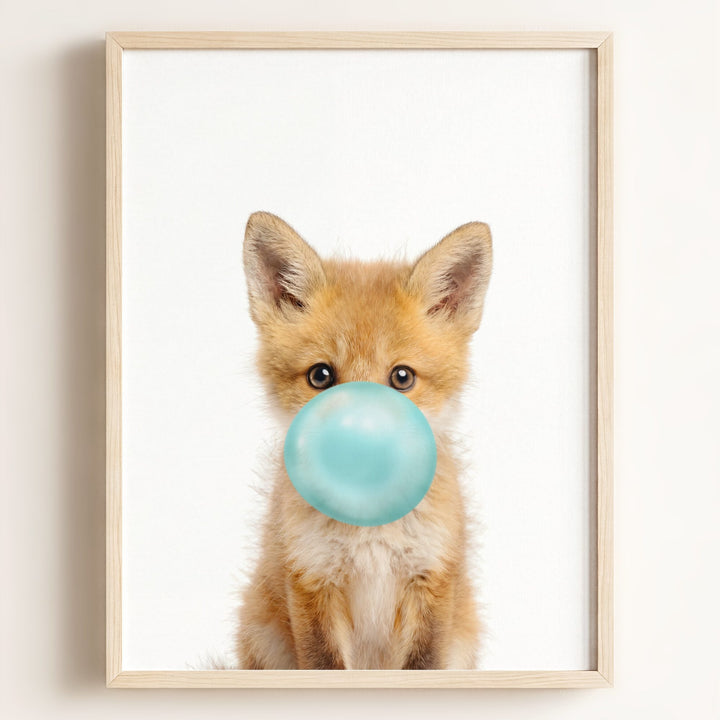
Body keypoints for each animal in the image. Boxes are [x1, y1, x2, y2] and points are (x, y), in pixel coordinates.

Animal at [237, 211, 492, 670]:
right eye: (321, 376)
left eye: (402, 377)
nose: (358, 440)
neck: (369, 529)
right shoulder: (311, 578)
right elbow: (324, 666)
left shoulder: (431, 579)